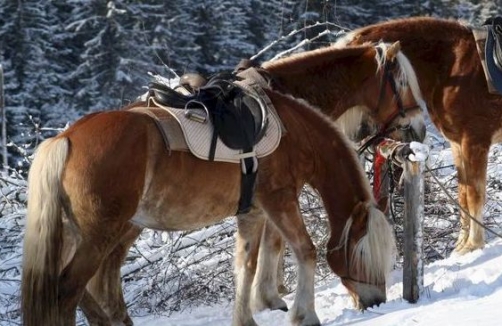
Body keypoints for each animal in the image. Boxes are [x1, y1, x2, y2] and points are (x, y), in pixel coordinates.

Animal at [334, 15, 502, 255]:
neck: (453, 67)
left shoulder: (474, 142)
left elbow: (474, 195)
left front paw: (473, 245)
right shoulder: (458, 144)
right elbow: (463, 195)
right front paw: (461, 245)